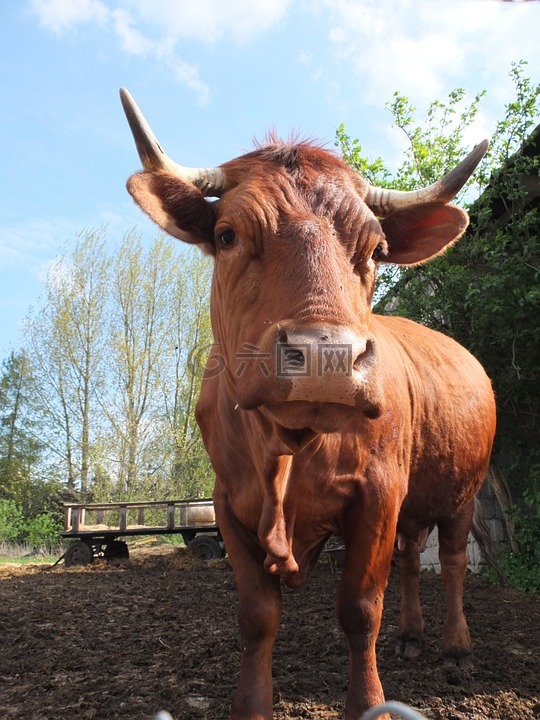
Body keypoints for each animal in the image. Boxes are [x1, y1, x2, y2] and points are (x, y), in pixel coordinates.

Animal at [120, 90, 496, 720]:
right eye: (227, 234)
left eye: (376, 249)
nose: (327, 356)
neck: (285, 450)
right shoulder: (229, 504)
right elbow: (257, 618)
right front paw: (251, 705)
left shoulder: (377, 494)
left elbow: (360, 610)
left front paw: (369, 702)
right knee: (412, 558)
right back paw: (412, 637)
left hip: (462, 492)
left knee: (449, 563)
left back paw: (456, 647)